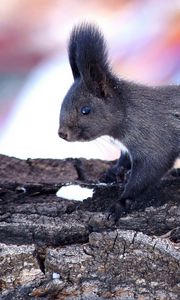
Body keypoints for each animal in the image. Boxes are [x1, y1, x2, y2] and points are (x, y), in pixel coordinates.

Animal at [58, 23, 179, 219]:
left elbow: (148, 171)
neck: (128, 114)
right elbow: (124, 159)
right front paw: (113, 172)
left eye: (86, 110)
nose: (62, 133)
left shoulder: (155, 141)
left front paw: (121, 203)